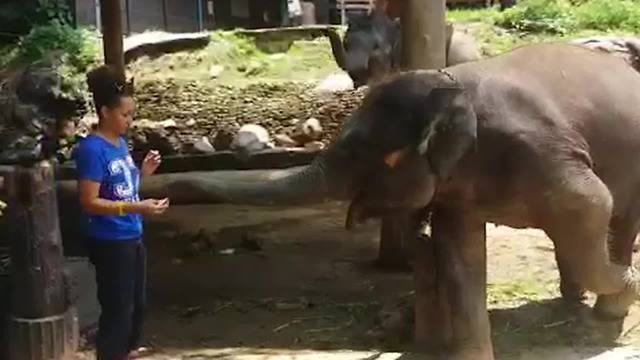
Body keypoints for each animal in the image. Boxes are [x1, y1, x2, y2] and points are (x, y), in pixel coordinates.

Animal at [165, 43, 640, 360]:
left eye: (361, 151)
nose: (168, 189)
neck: (449, 83)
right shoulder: (458, 183)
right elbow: (457, 252)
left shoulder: (541, 149)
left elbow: (592, 201)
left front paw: (628, 282)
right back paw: (576, 300)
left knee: (616, 218)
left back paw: (608, 308)